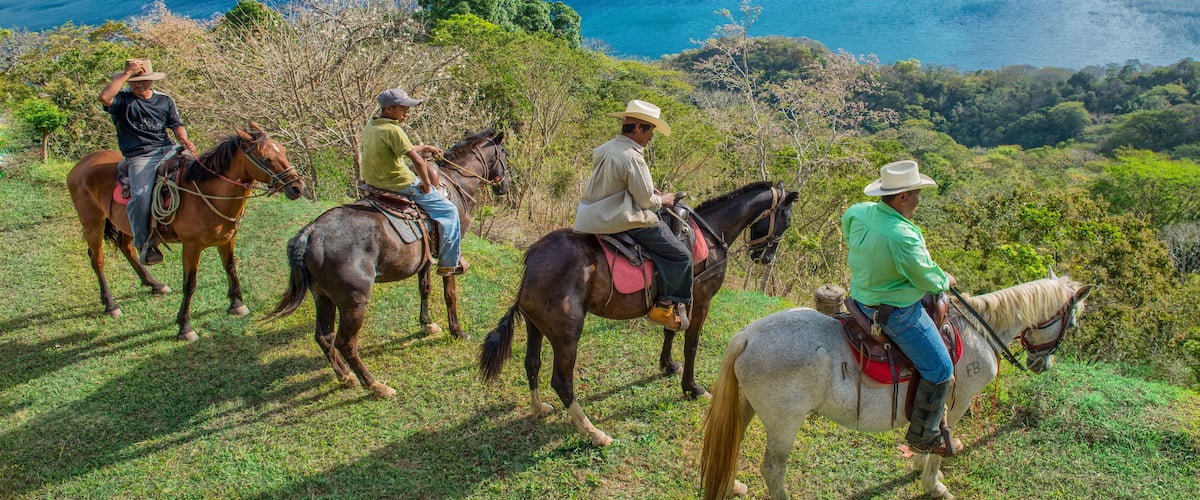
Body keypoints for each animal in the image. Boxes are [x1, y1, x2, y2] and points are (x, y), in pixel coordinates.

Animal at [67, 122, 305, 342]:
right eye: (266, 158)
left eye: (283, 151)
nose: (298, 187)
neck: (208, 194)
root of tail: (81, 164)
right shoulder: (191, 246)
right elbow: (190, 284)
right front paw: (185, 326)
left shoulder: (226, 239)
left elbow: (230, 267)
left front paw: (237, 304)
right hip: (93, 222)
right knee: (97, 259)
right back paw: (111, 304)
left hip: (125, 223)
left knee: (128, 248)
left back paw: (154, 284)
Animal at [263, 129, 510, 399]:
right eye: (505, 155)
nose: (505, 186)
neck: (455, 183)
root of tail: (310, 233)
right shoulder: (449, 250)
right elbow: (450, 294)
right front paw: (457, 331)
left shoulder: (425, 256)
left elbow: (425, 288)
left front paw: (427, 324)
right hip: (354, 301)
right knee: (344, 342)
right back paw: (375, 385)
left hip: (322, 295)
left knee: (324, 337)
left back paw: (345, 377)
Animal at [479, 181, 800, 446]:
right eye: (786, 221)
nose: (766, 257)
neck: (708, 237)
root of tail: (533, 259)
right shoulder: (701, 299)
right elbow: (691, 344)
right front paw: (692, 387)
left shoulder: (678, 295)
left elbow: (670, 330)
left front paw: (668, 365)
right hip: (566, 332)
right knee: (561, 381)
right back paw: (593, 432)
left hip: (535, 323)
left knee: (532, 364)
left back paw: (538, 408)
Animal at [700, 274, 1094, 499]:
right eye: (1074, 321)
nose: (1042, 364)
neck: (980, 331)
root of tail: (748, 336)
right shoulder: (959, 399)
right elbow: (941, 444)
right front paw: (933, 483)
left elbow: (928, 430)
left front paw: (919, 462)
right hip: (784, 421)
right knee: (772, 469)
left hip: (749, 405)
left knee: (733, 441)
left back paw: (732, 485)